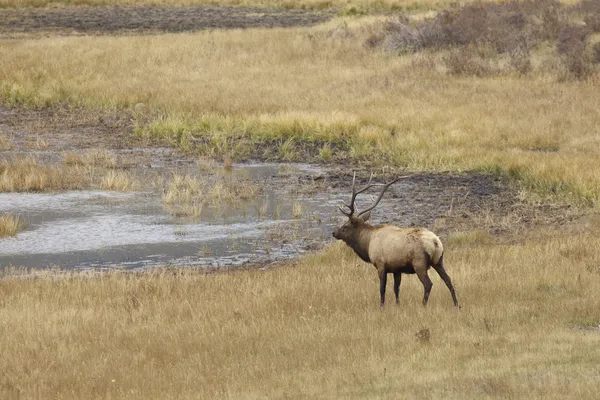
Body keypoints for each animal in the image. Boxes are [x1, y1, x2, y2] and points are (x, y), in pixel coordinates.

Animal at [332, 173, 460, 308]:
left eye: (345, 226)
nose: (334, 233)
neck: (367, 243)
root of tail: (435, 242)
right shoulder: (397, 269)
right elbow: (396, 288)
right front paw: (397, 304)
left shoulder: (381, 265)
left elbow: (382, 288)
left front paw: (382, 306)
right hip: (438, 261)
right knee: (448, 280)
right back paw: (457, 305)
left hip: (419, 263)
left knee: (428, 284)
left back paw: (423, 304)